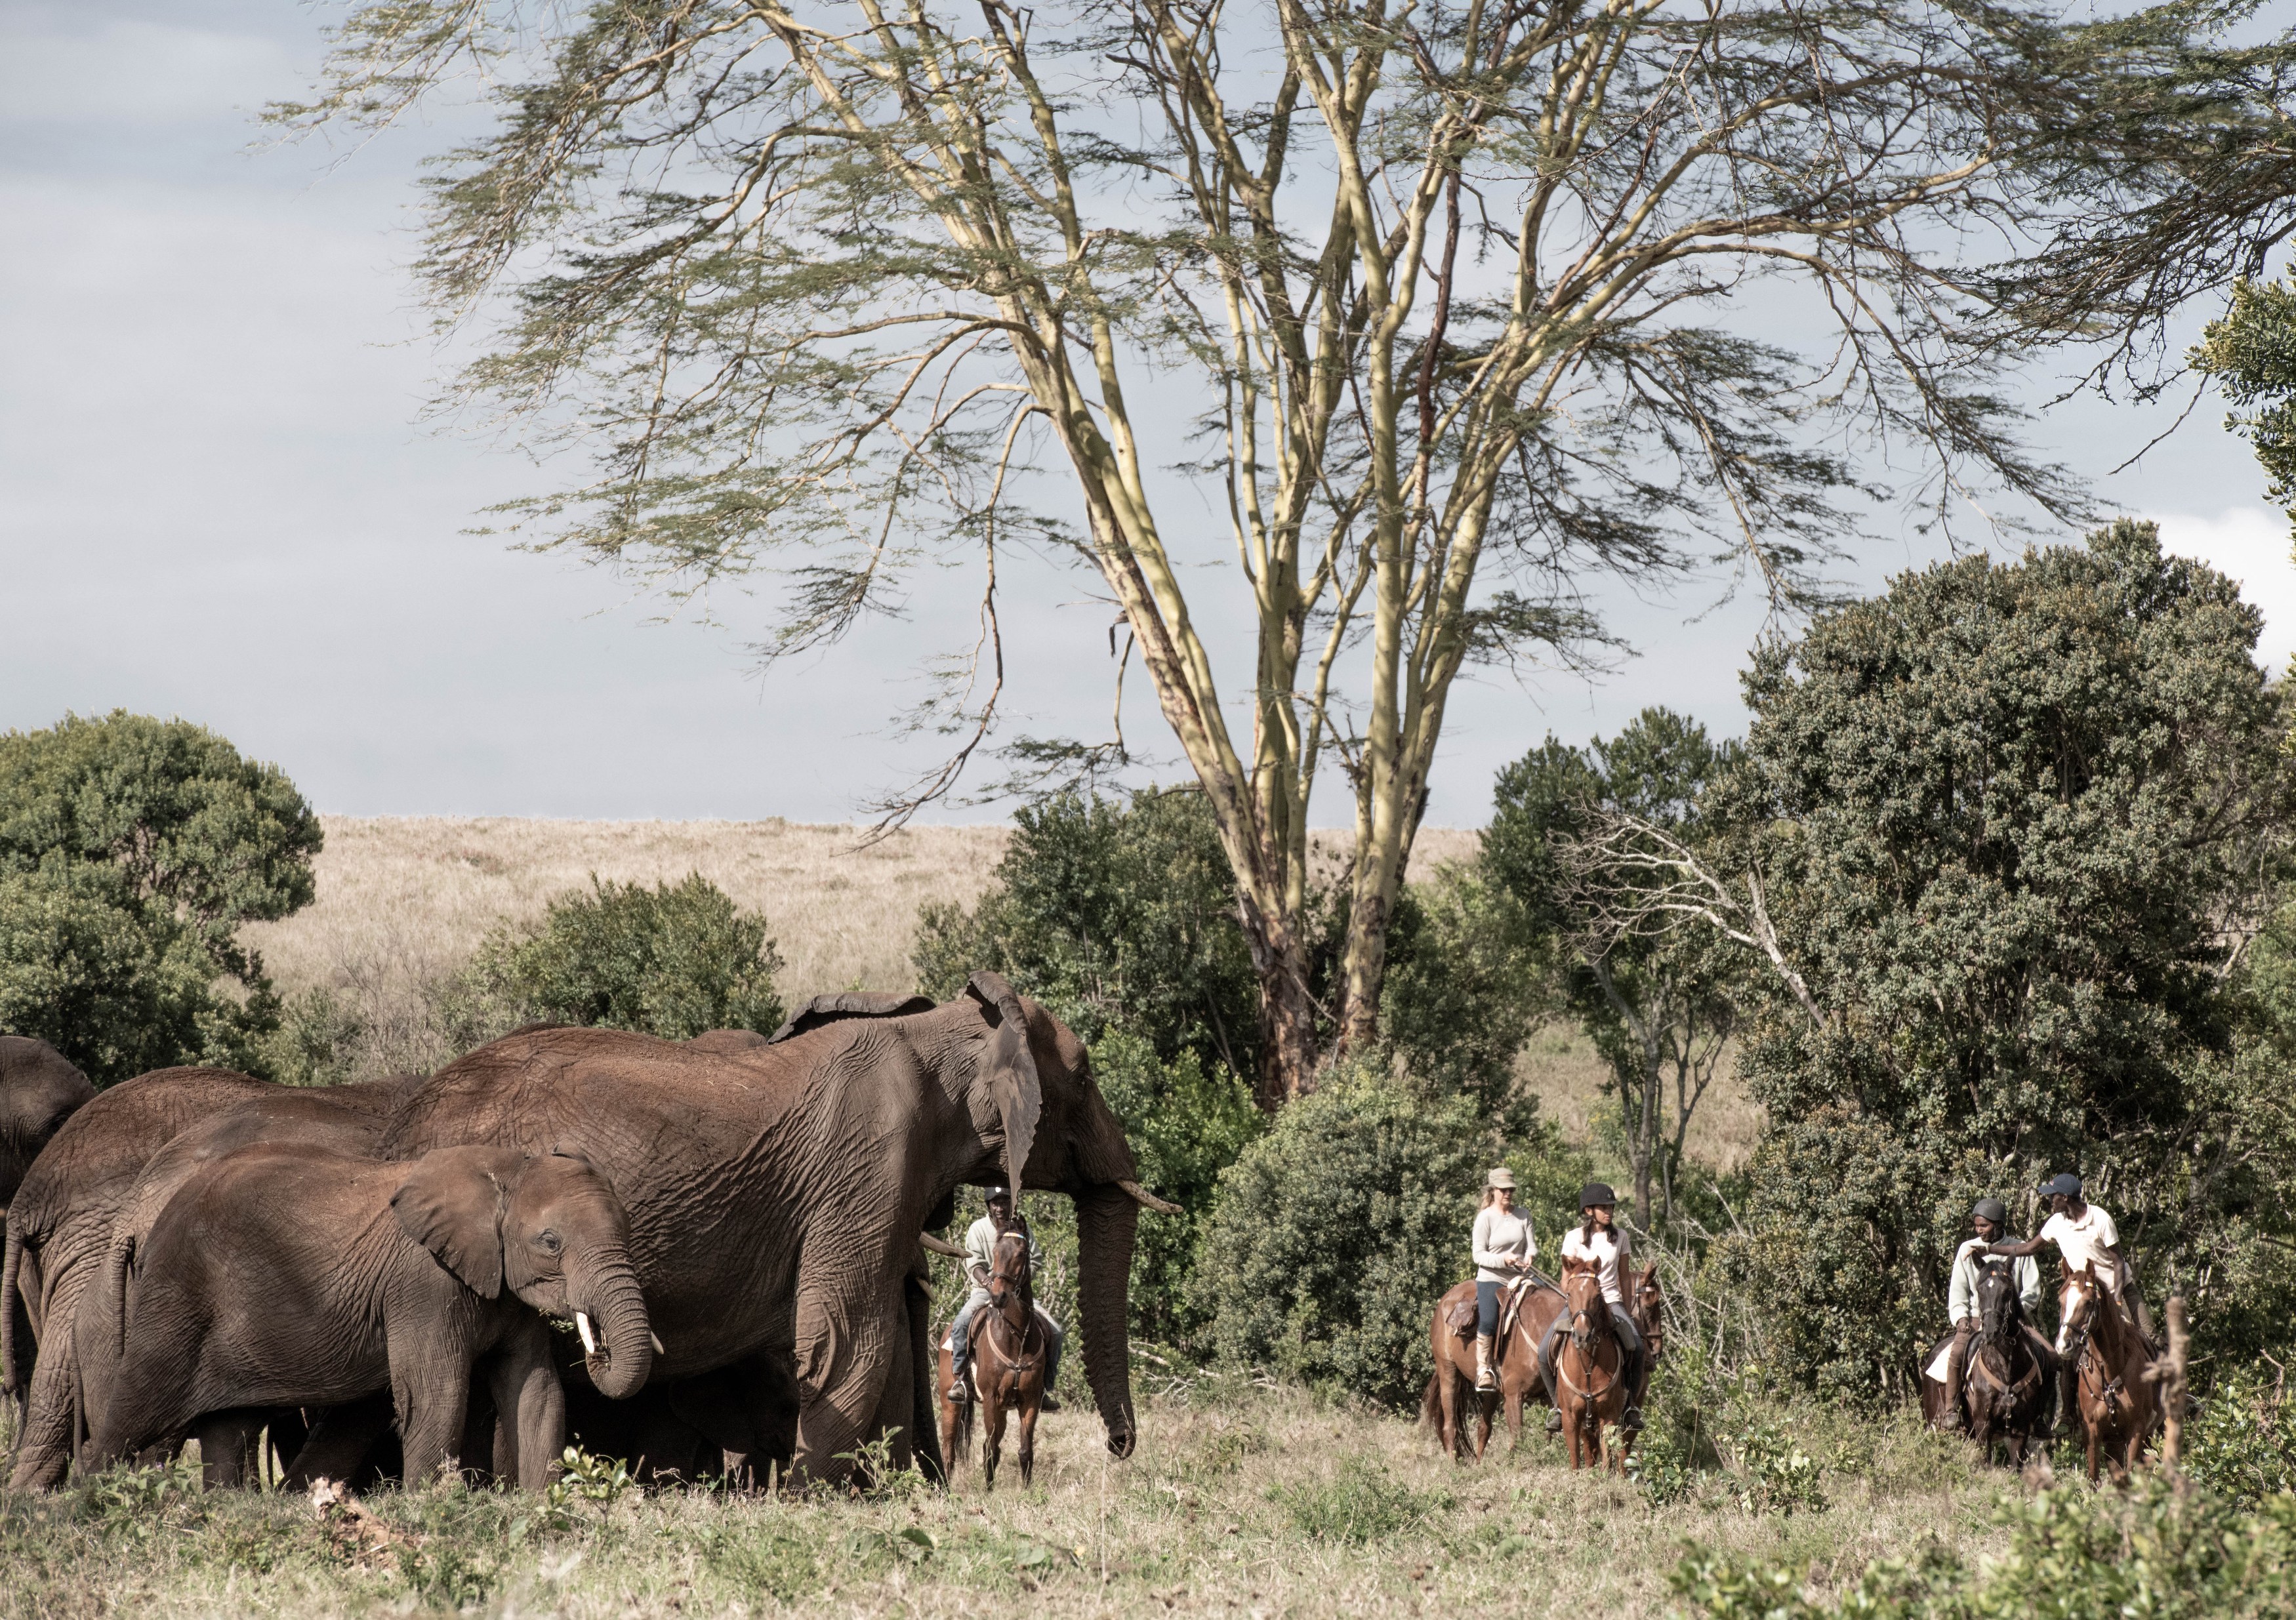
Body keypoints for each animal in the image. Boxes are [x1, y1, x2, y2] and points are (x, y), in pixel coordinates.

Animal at [88, 1142, 651, 1491]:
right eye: (550, 1243)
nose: (598, 1351)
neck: (507, 1167)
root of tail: (150, 1221)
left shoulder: (505, 1285)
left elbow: (536, 1391)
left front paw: (543, 1517)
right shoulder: (423, 1284)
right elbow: (437, 1394)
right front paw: (432, 1515)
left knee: (230, 1427)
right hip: (177, 1293)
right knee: (133, 1409)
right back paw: (83, 1515)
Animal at [935, 1228, 1047, 1490]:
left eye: (1022, 1253)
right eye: (995, 1251)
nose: (998, 1296)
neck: (1016, 1336)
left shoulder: (1030, 1400)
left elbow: (1025, 1451)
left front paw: (1027, 1491)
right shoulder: (990, 1399)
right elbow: (992, 1451)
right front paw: (988, 1491)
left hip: (1004, 1409)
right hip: (950, 1404)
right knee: (949, 1449)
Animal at [1420, 1274, 1563, 1460]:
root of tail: (1445, 1300)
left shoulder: (1547, 1398)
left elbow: (1547, 1435)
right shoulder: (1514, 1396)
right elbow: (1518, 1438)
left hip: (1492, 1391)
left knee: (1484, 1427)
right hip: (1448, 1371)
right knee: (1450, 1426)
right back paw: (1452, 1463)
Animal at [2058, 1260, 2156, 1485]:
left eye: (2088, 1303)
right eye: (2061, 1301)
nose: (2063, 1345)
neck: (2111, 1370)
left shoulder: (2137, 1429)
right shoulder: (2092, 1430)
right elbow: (2094, 1478)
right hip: (2113, 1442)